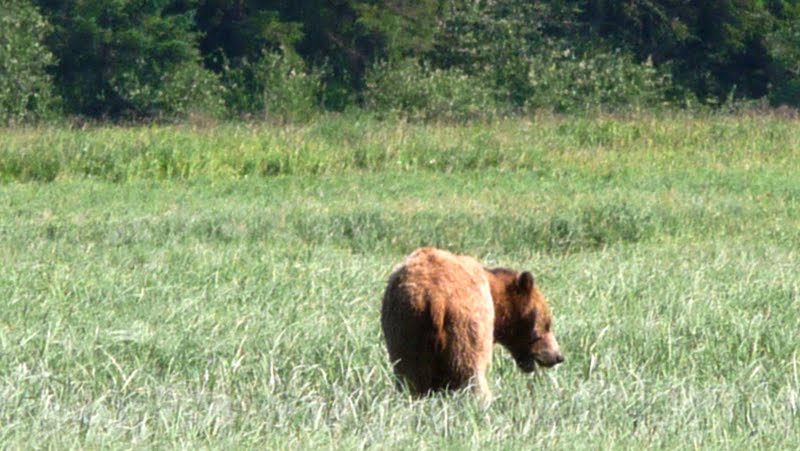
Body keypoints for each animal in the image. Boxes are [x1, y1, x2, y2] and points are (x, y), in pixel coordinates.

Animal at [382, 247, 564, 400]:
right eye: (547, 324)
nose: (558, 356)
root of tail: (435, 297)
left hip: (407, 326)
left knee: (411, 376)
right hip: (464, 324)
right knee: (470, 372)